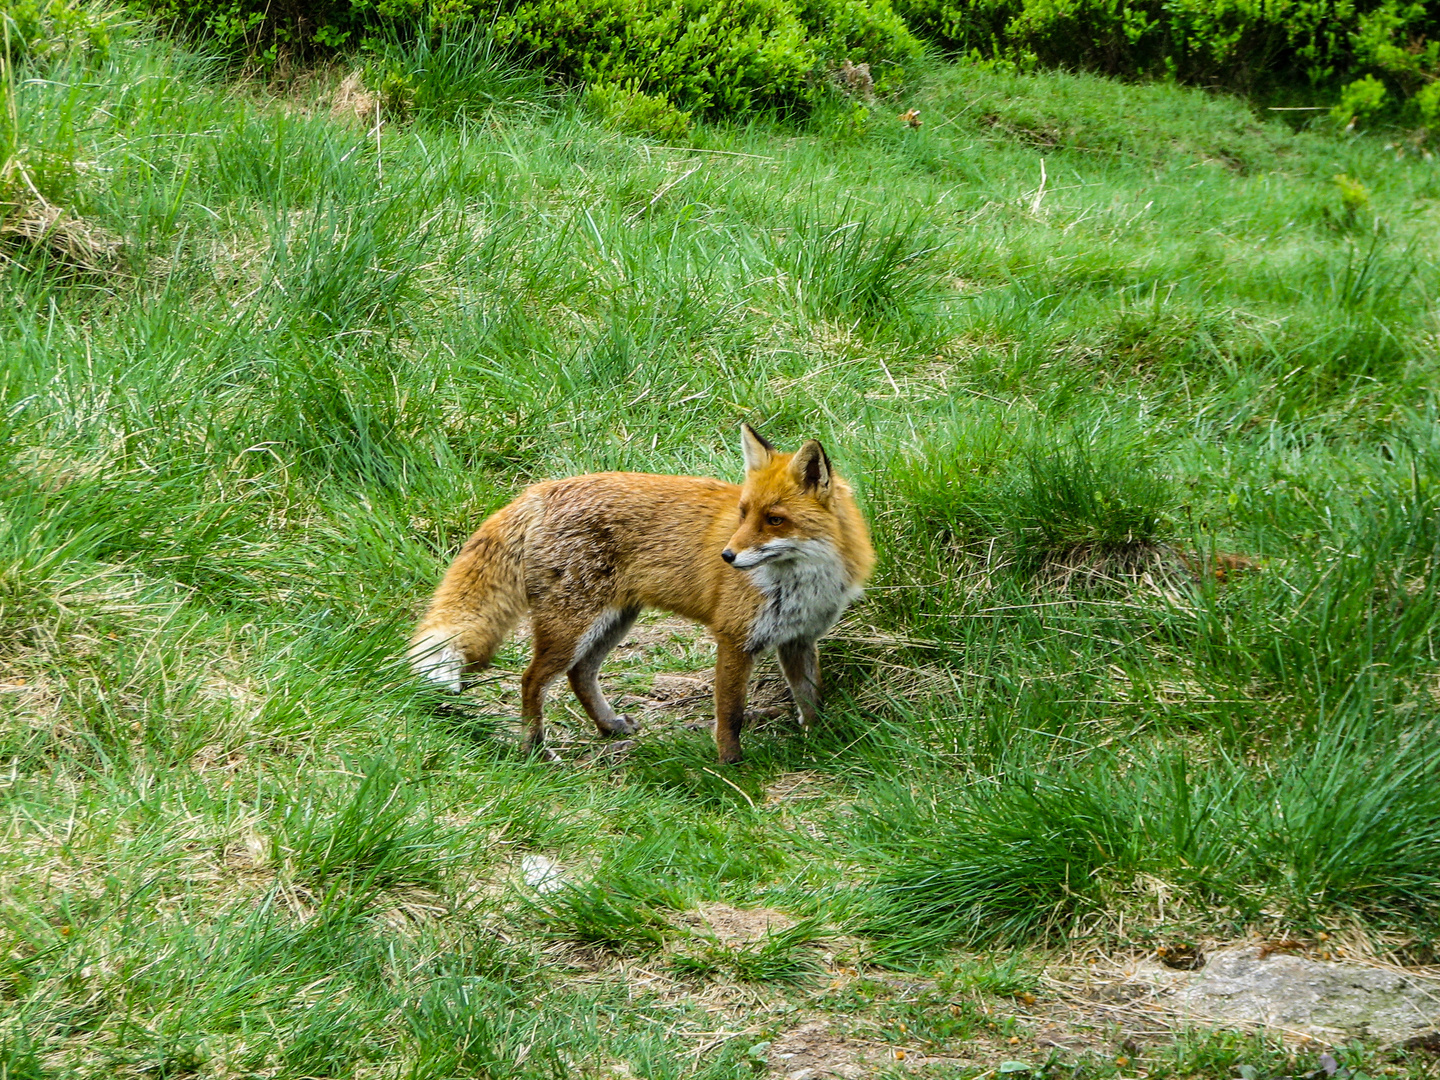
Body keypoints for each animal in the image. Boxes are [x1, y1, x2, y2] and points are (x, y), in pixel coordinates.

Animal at [408, 426, 875, 766]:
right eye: (743, 514)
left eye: (774, 519)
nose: (726, 556)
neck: (802, 582)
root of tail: (542, 489)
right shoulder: (734, 638)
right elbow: (731, 715)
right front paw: (731, 767)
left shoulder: (798, 639)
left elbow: (811, 699)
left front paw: (818, 741)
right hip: (571, 627)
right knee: (532, 680)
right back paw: (535, 749)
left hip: (614, 620)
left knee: (580, 675)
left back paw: (608, 727)